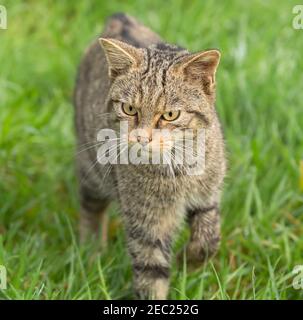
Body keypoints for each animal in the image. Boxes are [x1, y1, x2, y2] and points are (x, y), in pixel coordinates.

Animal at [73, 11, 226, 298]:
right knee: (90, 207)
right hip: (91, 169)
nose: (142, 138)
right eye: (129, 109)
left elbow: (209, 240)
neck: (178, 168)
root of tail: (120, 18)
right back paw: (92, 250)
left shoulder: (208, 198)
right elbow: (151, 276)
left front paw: (188, 260)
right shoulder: (147, 227)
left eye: (170, 115)